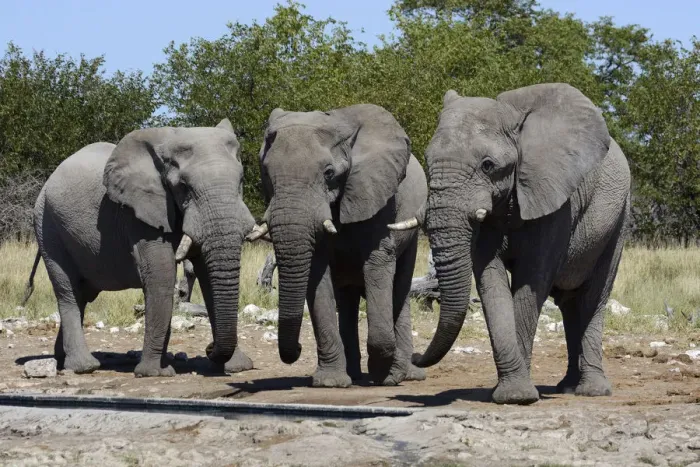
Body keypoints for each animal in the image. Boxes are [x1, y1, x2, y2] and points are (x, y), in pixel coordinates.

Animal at [22, 118, 256, 377]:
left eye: (241, 180)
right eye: (183, 186)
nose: (209, 348)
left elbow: (206, 276)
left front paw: (239, 367)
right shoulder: (137, 213)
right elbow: (162, 276)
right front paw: (155, 373)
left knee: (82, 294)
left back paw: (61, 359)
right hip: (47, 226)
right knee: (68, 291)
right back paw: (83, 367)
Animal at [247, 104, 428, 386]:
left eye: (329, 173)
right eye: (266, 173)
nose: (297, 349)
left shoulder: (378, 197)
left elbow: (377, 264)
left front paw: (386, 377)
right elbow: (318, 274)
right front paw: (330, 382)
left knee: (399, 289)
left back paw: (406, 374)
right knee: (347, 301)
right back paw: (354, 375)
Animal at [391, 83, 631, 404]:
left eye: (488, 165)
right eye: (428, 161)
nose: (416, 358)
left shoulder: (554, 200)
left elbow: (532, 280)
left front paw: (517, 396)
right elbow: (490, 280)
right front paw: (508, 393)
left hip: (619, 215)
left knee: (593, 296)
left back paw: (592, 391)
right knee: (569, 304)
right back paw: (566, 387)